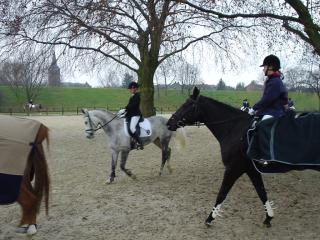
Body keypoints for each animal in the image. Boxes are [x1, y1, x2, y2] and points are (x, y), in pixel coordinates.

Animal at [166, 87, 274, 228]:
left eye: (186, 105)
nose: (169, 123)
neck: (235, 130)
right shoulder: (251, 169)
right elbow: (262, 193)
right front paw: (268, 217)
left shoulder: (233, 169)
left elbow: (222, 194)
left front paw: (209, 219)